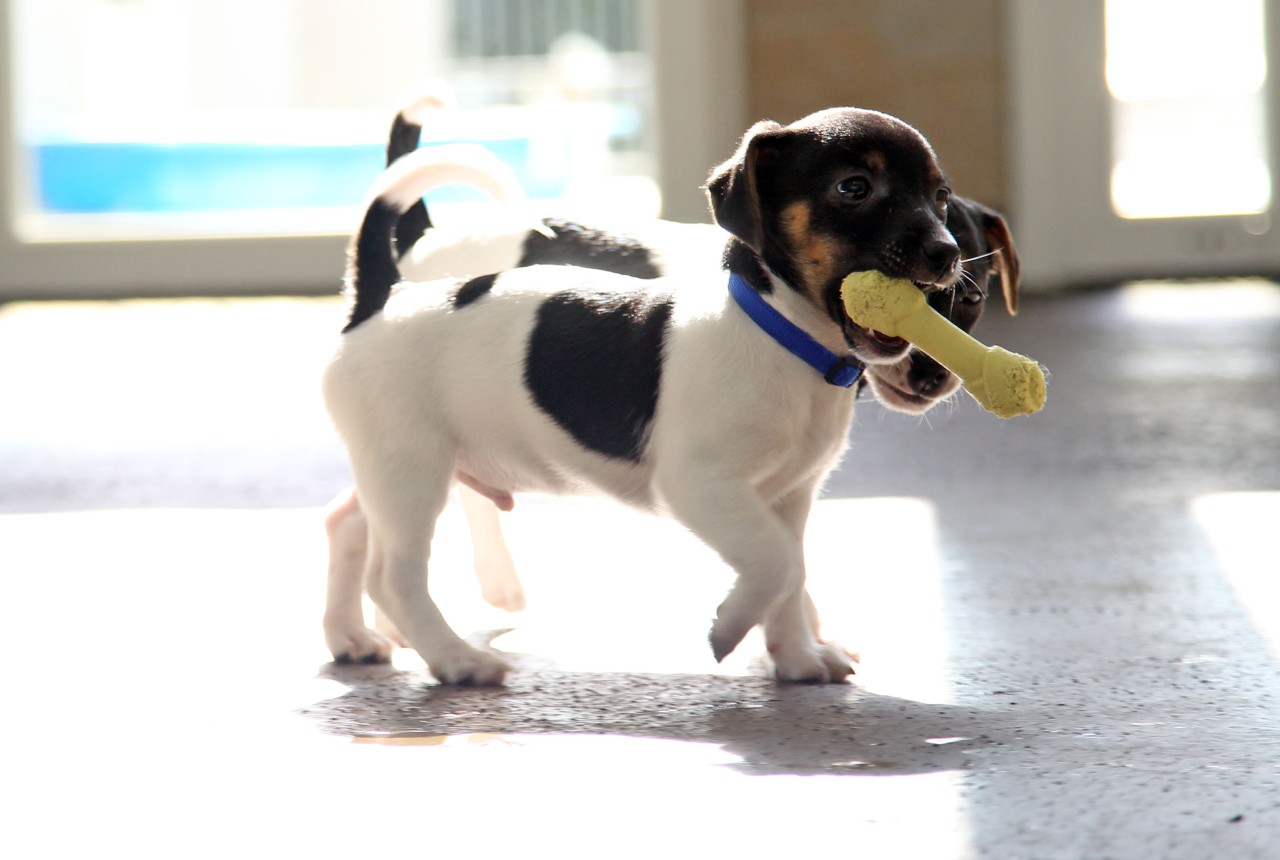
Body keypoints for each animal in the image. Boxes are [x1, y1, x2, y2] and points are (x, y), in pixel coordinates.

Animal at [322, 109, 967, 685]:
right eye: (853, 187)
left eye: (940, 196)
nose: (948, 253)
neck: (779, 334)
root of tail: (383, 297)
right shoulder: (700, 484)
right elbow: (776, 561)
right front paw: (728, 628)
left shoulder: (791, 494)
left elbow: (792, 571)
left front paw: (797, 659)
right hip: (411, 469)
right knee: (395, 577)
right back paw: (457, 660)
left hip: (396, 468)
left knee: (347, 523)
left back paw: (351, 636)